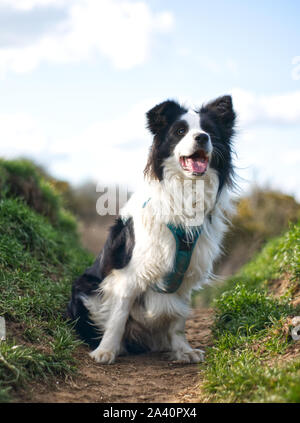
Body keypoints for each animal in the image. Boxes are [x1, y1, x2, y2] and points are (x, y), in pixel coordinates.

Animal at [67, 95, 237, 364]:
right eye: (180, 131)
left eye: (209, 130)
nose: (202, 138)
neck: (185, 191)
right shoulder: (128, 274)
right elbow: (118, 317)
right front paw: (106, 351)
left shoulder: (185, 275)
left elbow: (179, 320)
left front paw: (183, 350)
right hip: (85, 288)